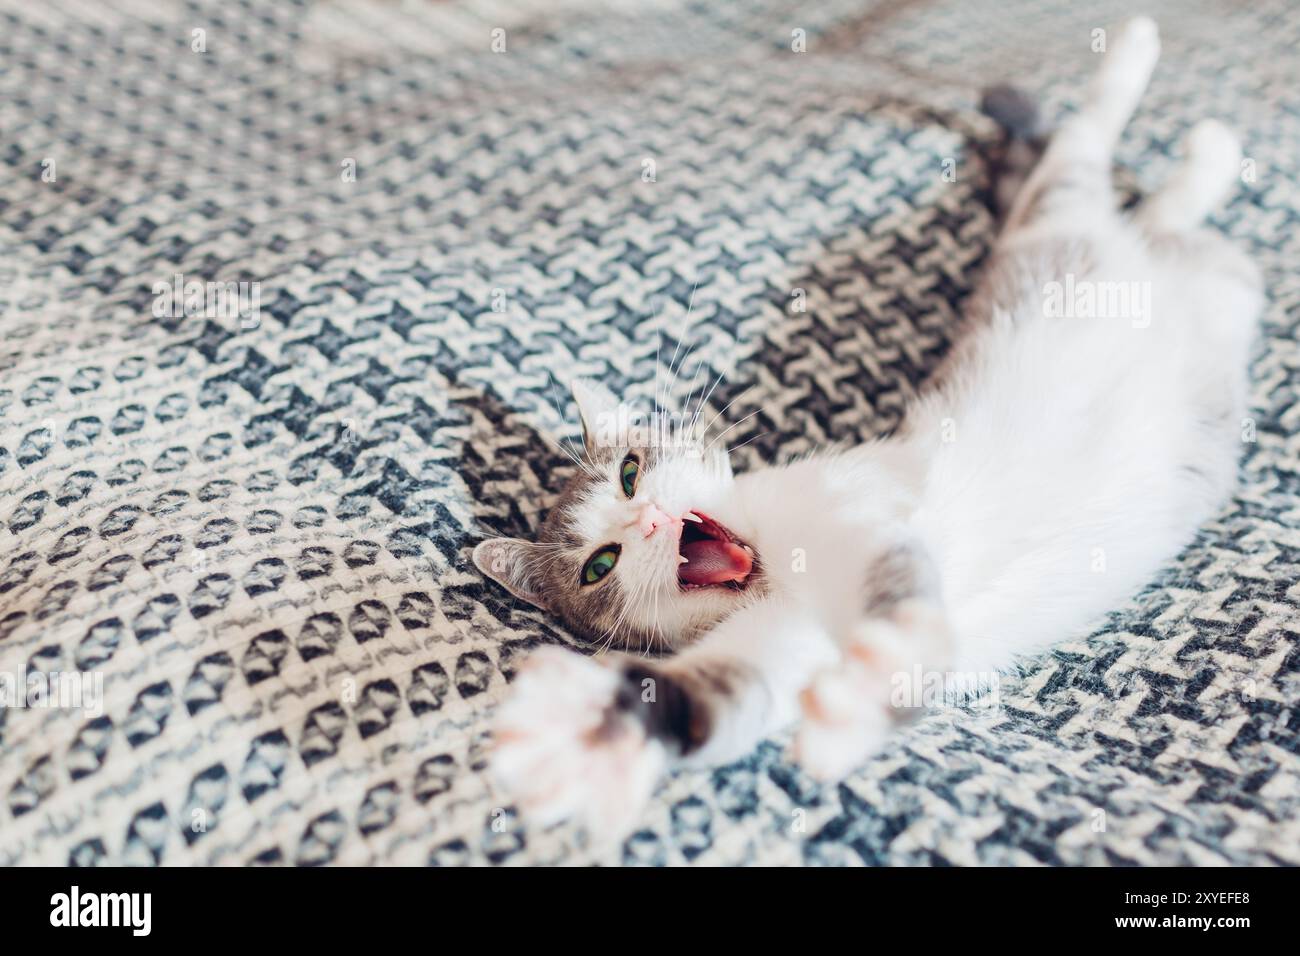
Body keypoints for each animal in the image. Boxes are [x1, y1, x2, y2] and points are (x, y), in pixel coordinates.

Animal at [473, 18, 1263, 842]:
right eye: (599, 565)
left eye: (630, 471)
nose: (651, 517)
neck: (773, 573)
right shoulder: (777, 643)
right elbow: (719, 697)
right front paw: (600, 736)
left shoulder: (869, 520)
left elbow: (903, 600)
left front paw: (881, 675)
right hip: (1199, 273)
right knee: (1164, 214)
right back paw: (1202, 162)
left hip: (1058, 219)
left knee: (1083, 142)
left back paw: (1147, 69)